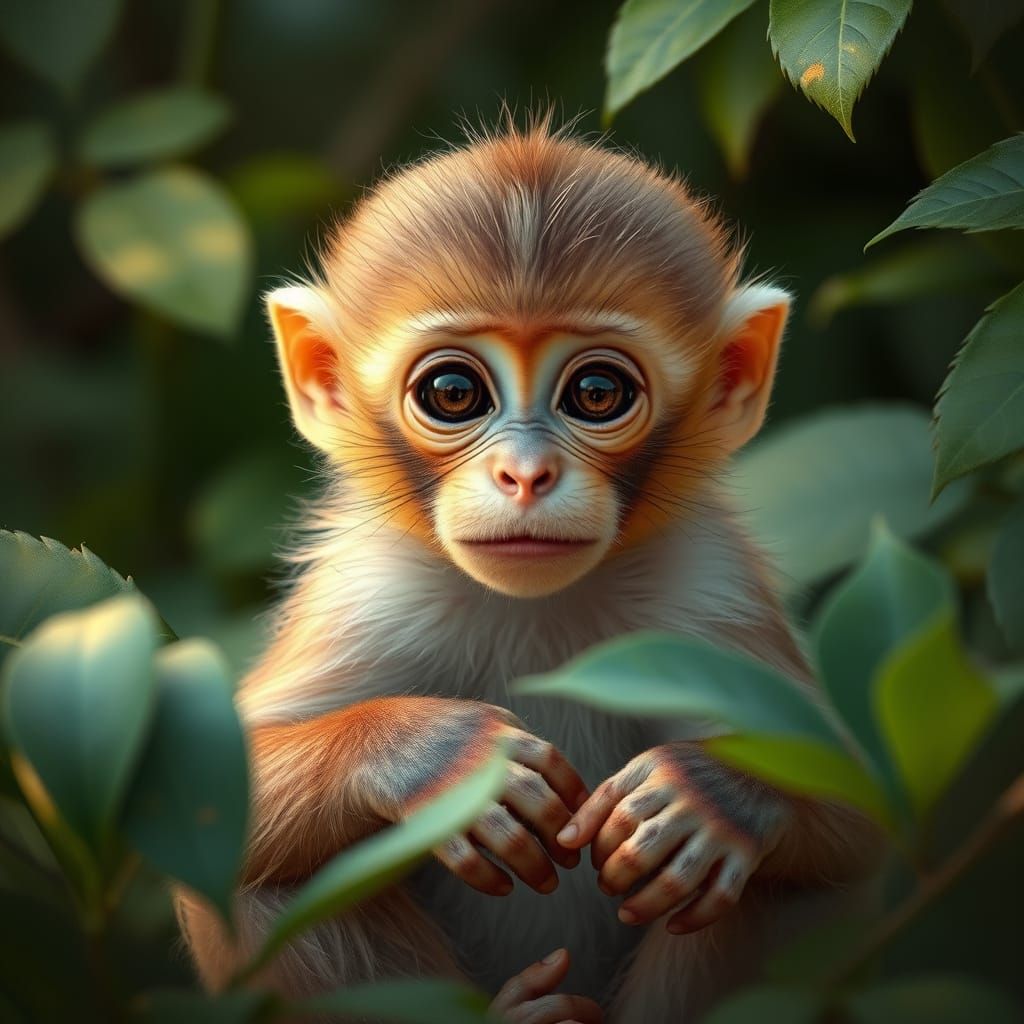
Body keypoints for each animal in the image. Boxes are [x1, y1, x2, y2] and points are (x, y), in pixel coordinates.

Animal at [177, 116, 882, 1022]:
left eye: (596, 392)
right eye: (452, 391)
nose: (524, 475)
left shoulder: (710, 591)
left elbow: (870, 811)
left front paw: (713, 798)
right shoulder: (366, 596)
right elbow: (201, 790)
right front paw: (438, 759)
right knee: (268, 883)